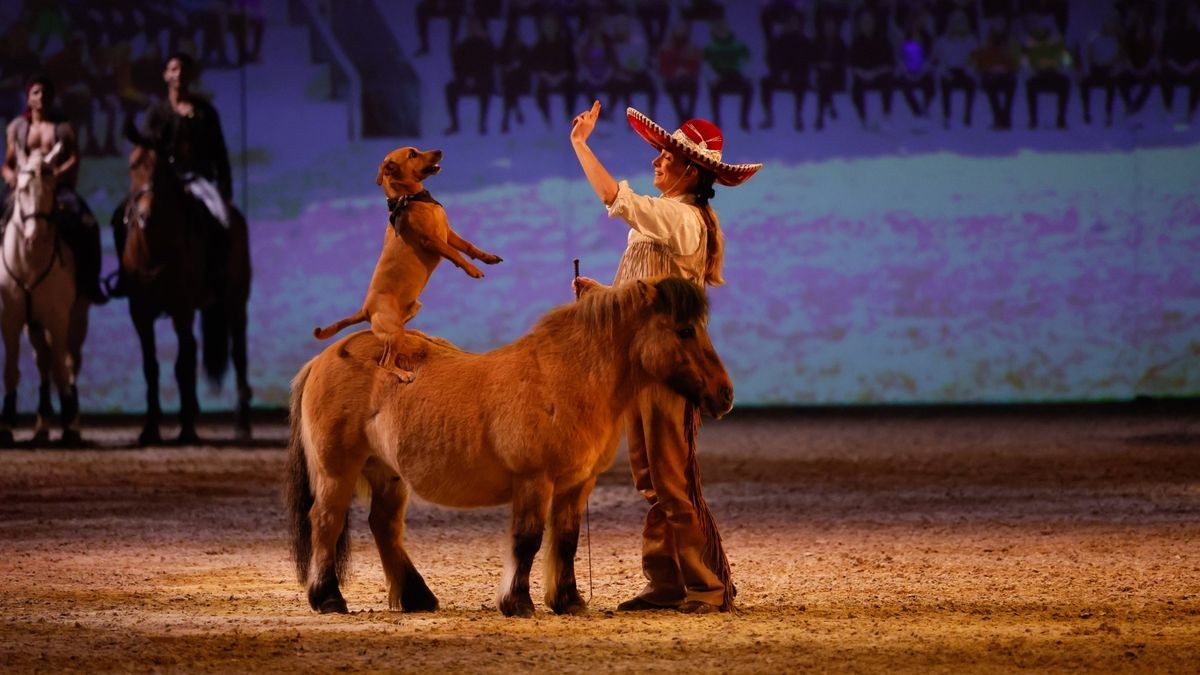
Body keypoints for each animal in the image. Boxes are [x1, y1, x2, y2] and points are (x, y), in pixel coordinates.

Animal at [0, 144, 89, 444]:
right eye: (23, 189)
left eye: (51, 189)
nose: (34, 236)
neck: (30, 262)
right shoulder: (11, 320)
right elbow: (11, 371)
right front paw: (6, 426)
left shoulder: (59, 319)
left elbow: (62, 370)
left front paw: (70, 427)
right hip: (34, 325)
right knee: (43, 363)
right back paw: (41, 426)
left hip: (77, 318)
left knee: (68, 363)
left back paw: (70, 421)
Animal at [115, 126, 253, 444]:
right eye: (132, 165)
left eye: (162, 169)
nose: (145, 215)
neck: (154, 250)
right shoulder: (140, 314)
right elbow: (151, 367)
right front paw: (150, 428)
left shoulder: (181, 310)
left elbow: (181, 365)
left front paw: (186, 427)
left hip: (235, 303)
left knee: (237, 354)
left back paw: (240, 422)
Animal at [288, 273, 729, 614]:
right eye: (685, 330)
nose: (724, 395)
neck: (565, 377)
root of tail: (325, 358)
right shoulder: (534, 480)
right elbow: (527, 540)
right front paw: (517, 602)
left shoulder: (576, 484)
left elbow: (565, 540)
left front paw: (568, 601)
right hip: (337, 471)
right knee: (326, 522)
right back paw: (328, 599)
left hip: (388, 475)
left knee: (385, 526)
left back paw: (416, 597)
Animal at [314, 146, 501, 379]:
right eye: (412, 154)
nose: (439, 150)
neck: (410, 198)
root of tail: (365, 310)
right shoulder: (432, 240)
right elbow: (455, 254)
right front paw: (472, 269)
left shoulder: (448, 233)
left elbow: (468, 246)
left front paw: (487, 258)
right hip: (393, 332)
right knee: (384, 362)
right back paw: (404, 374)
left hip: (409, 313)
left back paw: (418, 334)